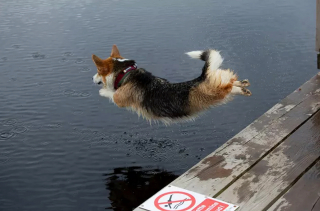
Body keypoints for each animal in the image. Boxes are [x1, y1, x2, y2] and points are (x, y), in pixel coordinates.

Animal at [91, 44, 251, 123]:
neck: (125, 72)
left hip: (215, 90)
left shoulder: (119, 99)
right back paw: (243, 85)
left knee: (228, 87)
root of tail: (202, 77)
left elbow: (112, 93)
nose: (92, 78)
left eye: (98, 71)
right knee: (230, 78)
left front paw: (103, 91)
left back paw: (240, 88)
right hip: (219, 77)